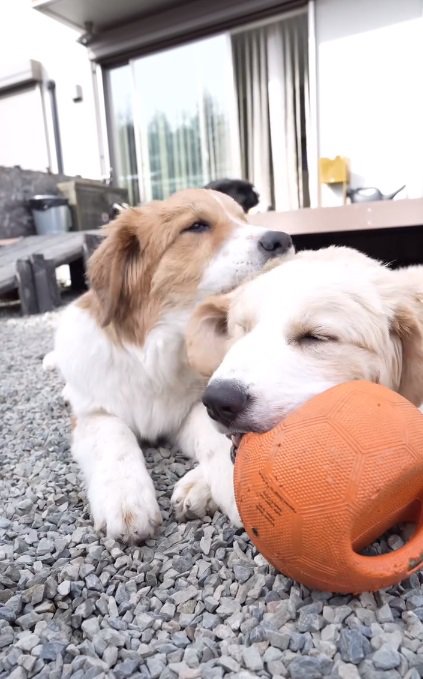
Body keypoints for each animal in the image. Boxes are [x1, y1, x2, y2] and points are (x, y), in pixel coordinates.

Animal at [44, 189, 294, 544]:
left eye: (244, 219)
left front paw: (228, 484)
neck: (157, 353)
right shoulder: (93, 415)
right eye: (197, 226)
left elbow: (215, 437)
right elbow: (114, 438)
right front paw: (125, 500)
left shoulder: (198, 405)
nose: (282, 239)